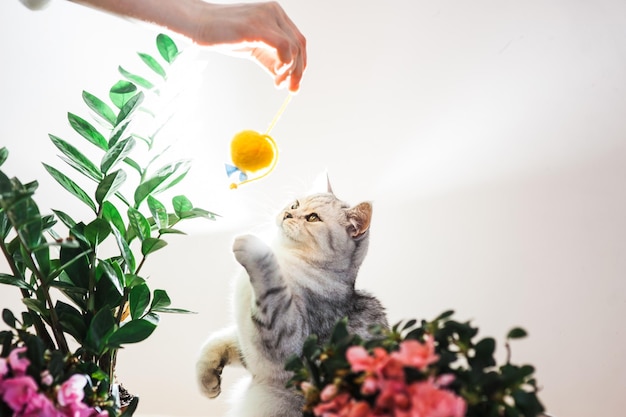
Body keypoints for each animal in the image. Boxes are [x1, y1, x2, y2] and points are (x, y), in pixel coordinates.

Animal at [197, 187, 388, 414]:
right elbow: (218, 340)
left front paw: (254, 247)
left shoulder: (285, 349)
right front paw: (207, 378)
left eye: (313, 217)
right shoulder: (247, 344)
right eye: (295, 205)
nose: (288, 214)